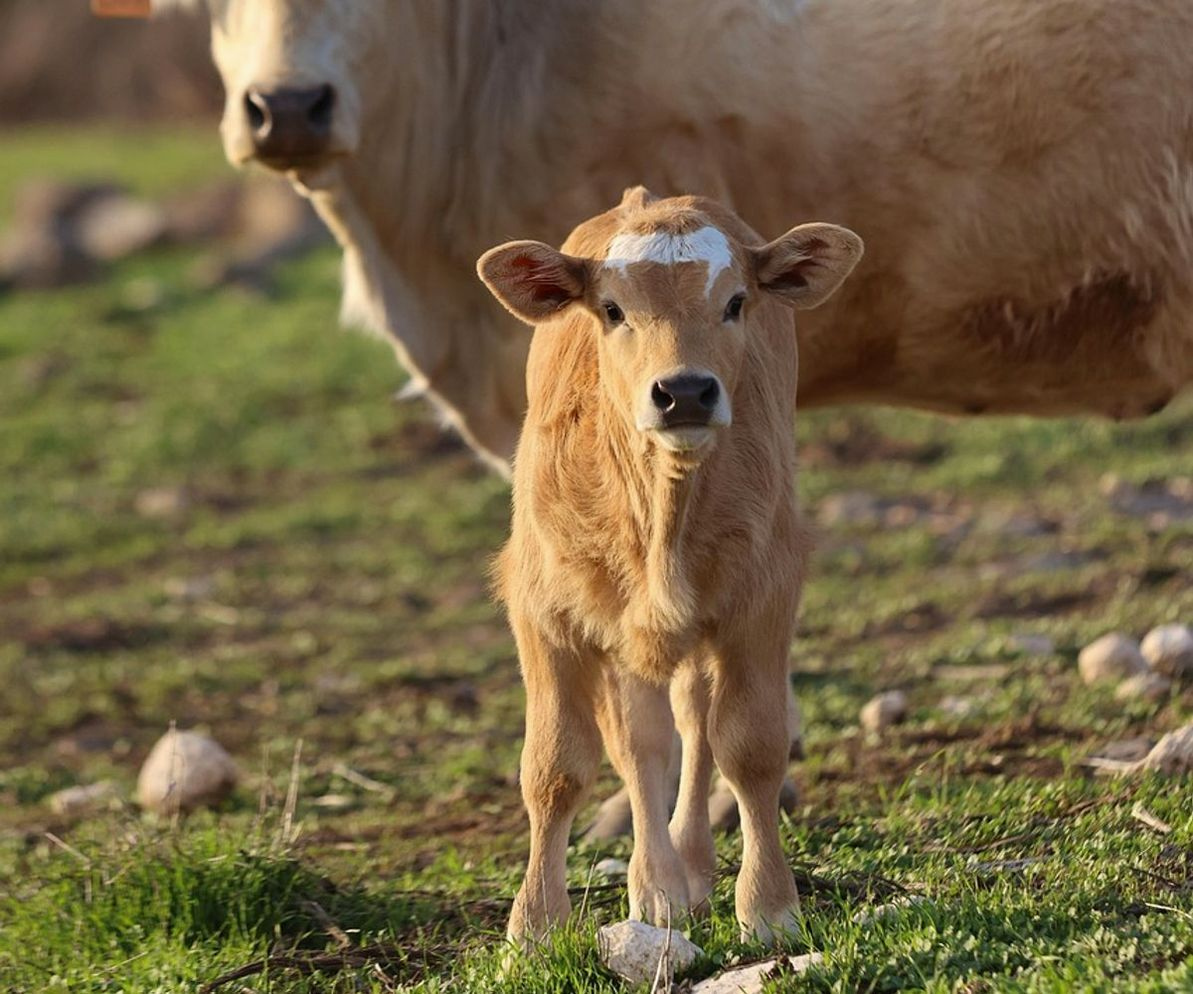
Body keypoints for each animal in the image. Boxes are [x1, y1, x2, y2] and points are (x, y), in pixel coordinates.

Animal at [478, 187, 863, 942]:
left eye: (736, 302)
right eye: (612, 309)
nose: (684, 390)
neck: (660, 509)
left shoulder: (763, 594)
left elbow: (750, 746)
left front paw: (768, 908)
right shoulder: (543, 609)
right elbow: (555, 767)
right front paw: (535, 925)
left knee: (693, 724)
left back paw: (686, 866)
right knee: (644, 744)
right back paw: (657, 887)